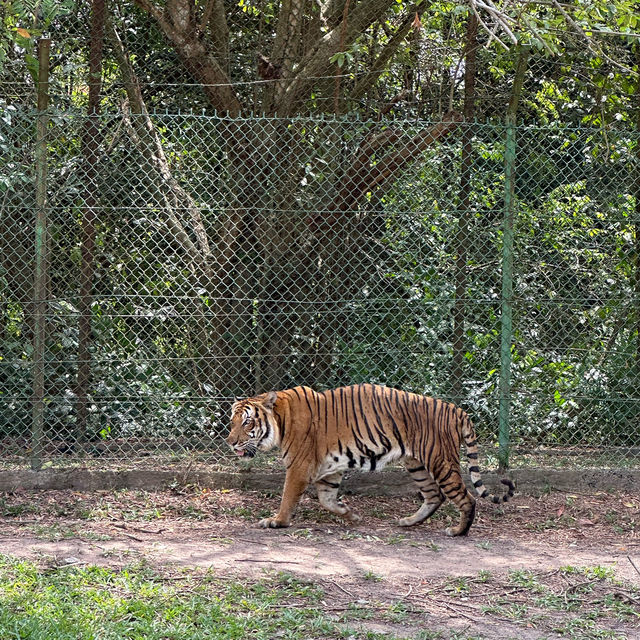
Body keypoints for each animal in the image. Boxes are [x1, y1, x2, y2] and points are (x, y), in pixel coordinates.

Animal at [226, 380, 516, 536]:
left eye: (247, 422)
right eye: (232, 422)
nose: (230, 442)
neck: (280, 419)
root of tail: (457, 410)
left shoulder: (299, 466)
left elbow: (288, 496)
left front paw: (277, 521)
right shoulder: (329, 469)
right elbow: (327, 499)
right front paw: (350, 515)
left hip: (440, 461)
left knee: (465, 498)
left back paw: (458, 531)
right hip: (417, 464)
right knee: (435, 496)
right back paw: (408, 521)